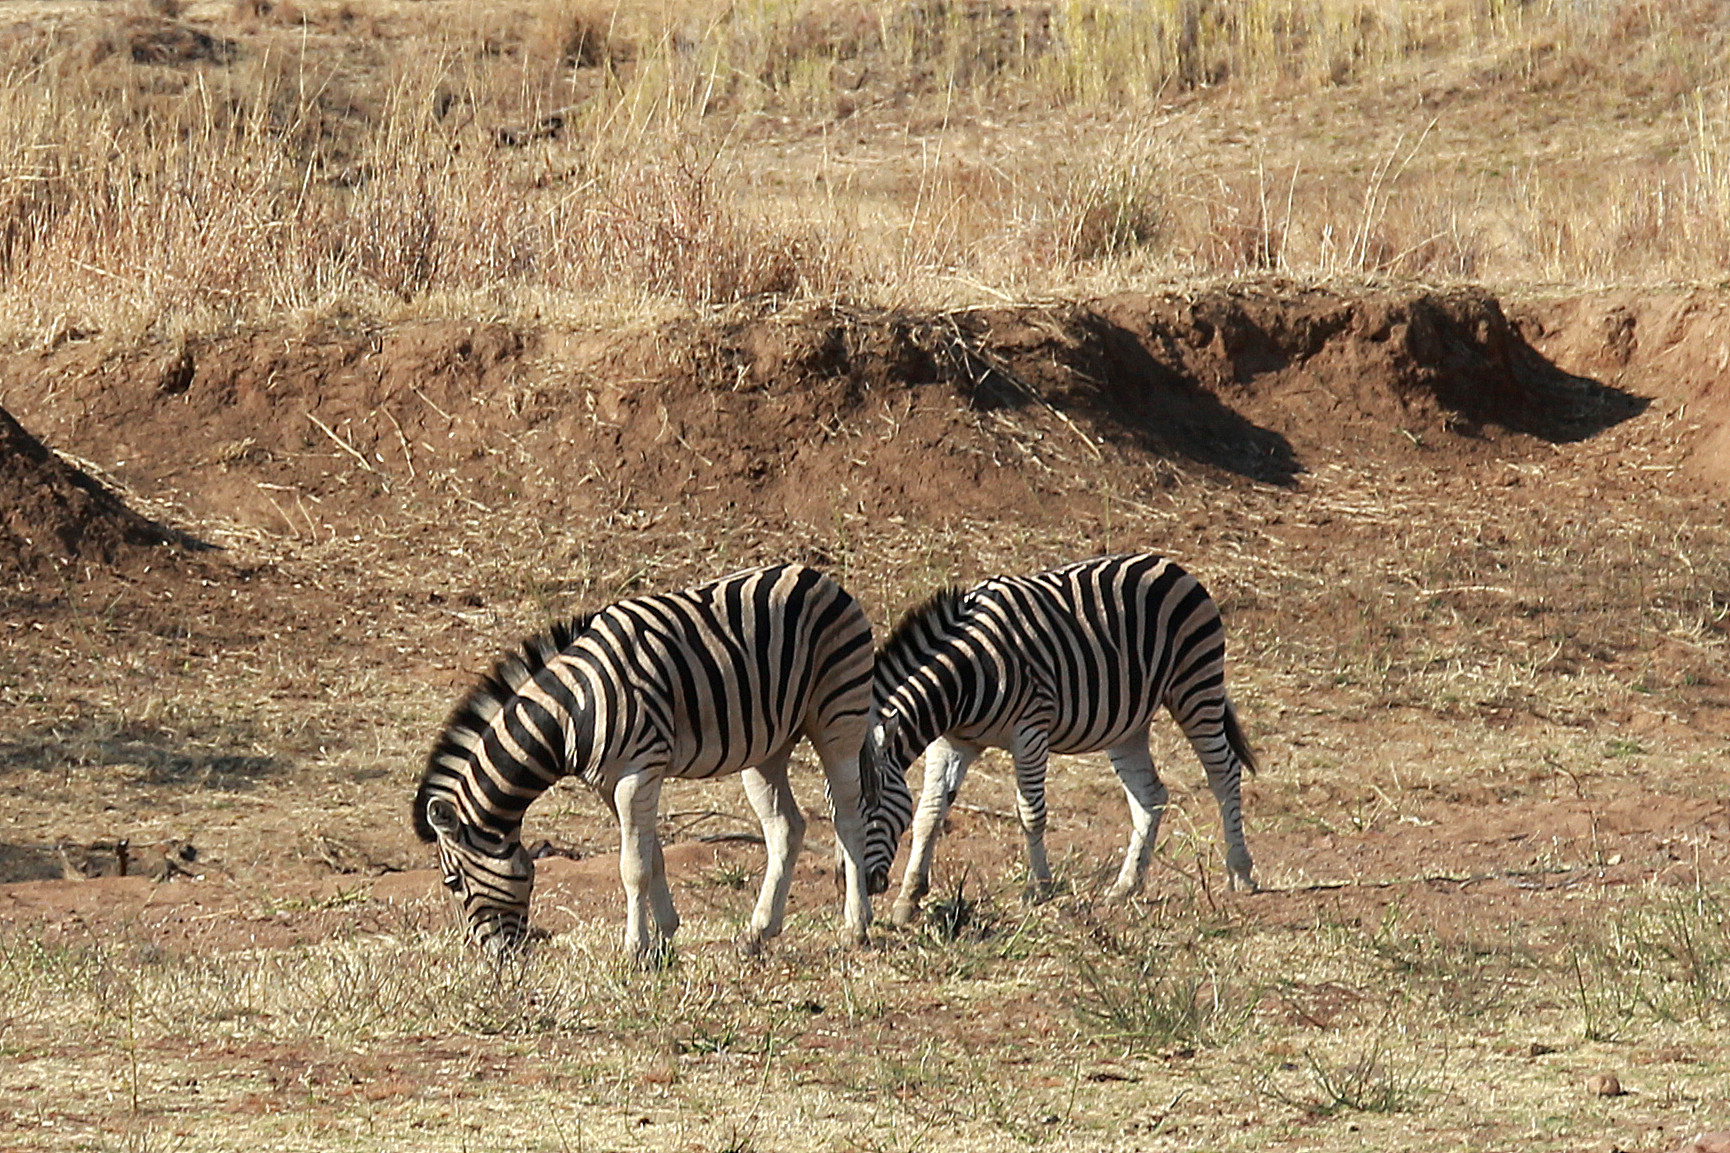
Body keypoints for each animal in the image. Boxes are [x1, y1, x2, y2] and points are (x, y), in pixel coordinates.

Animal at [408, 560, 906, 955]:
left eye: (453, 883)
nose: (494, 956)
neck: (572, 710)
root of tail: (818, 575)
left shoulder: (636, 773)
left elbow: (633, 866)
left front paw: (635, 948)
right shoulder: (611, 784)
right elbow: (653, 855)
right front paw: (665, 934)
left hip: (838, 714)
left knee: (849, 816)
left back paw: (856, 926)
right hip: (768, 744)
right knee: (787, 826)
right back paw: (758, 932)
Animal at [865, 550, 1259, 927]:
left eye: (869, 810)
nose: (861, 884)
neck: (964, 676)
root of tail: (1168, 563)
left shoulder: (1030, 731)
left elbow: (1030, 814)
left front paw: (1039, 888)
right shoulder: (952, 742)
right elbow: (929, 813)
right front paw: (909, 898)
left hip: (1195, 684)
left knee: (1224, 772)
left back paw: (1241, 872)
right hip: (1128, 723)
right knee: (1151, 795)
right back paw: (1126, 885)